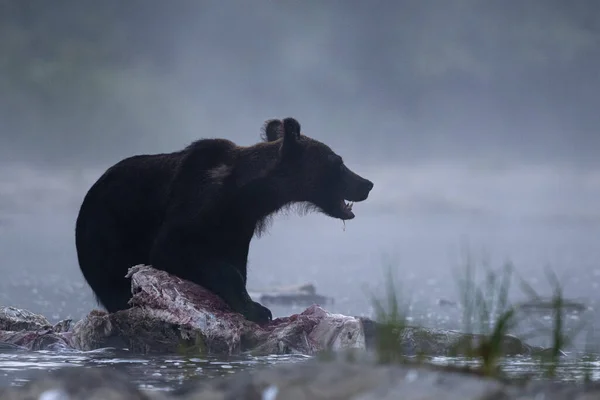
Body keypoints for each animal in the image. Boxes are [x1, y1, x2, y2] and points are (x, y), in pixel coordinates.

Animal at [74, 117, 376, 324]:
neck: (245, 195)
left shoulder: (239, 226)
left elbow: (236, 266)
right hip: (105, 234)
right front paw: (257, 309)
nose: (367, 184)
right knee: (114, 282)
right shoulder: (194, 206)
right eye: (338, 162)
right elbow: (171, 249)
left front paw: (251, 305)